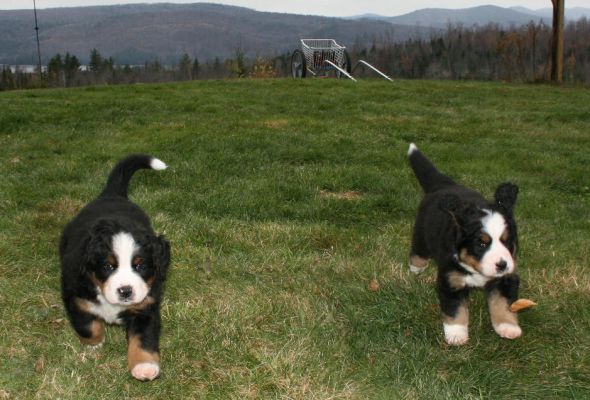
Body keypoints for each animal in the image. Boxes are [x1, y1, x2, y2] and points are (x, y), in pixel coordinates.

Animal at [59, 154, 171, 382]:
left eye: (141, 265)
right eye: (108, 266)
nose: (125, 291)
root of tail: (112, 195)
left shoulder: (145, 307)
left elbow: (144, 338)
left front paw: (145, 367)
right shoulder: (74, 295)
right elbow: (87, 325)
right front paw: (95, 342)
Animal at [410, 143, 520, 344]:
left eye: (507, 241)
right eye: (481, 244)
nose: (502, 265)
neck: (475, 269)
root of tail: (445, 184)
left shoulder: (505, 279)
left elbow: (503, 303)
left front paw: (508, 327)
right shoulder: (451, 281)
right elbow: (455, 310)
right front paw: (456, 334)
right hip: (421, 233)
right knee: (418, 252)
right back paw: (416, 267)